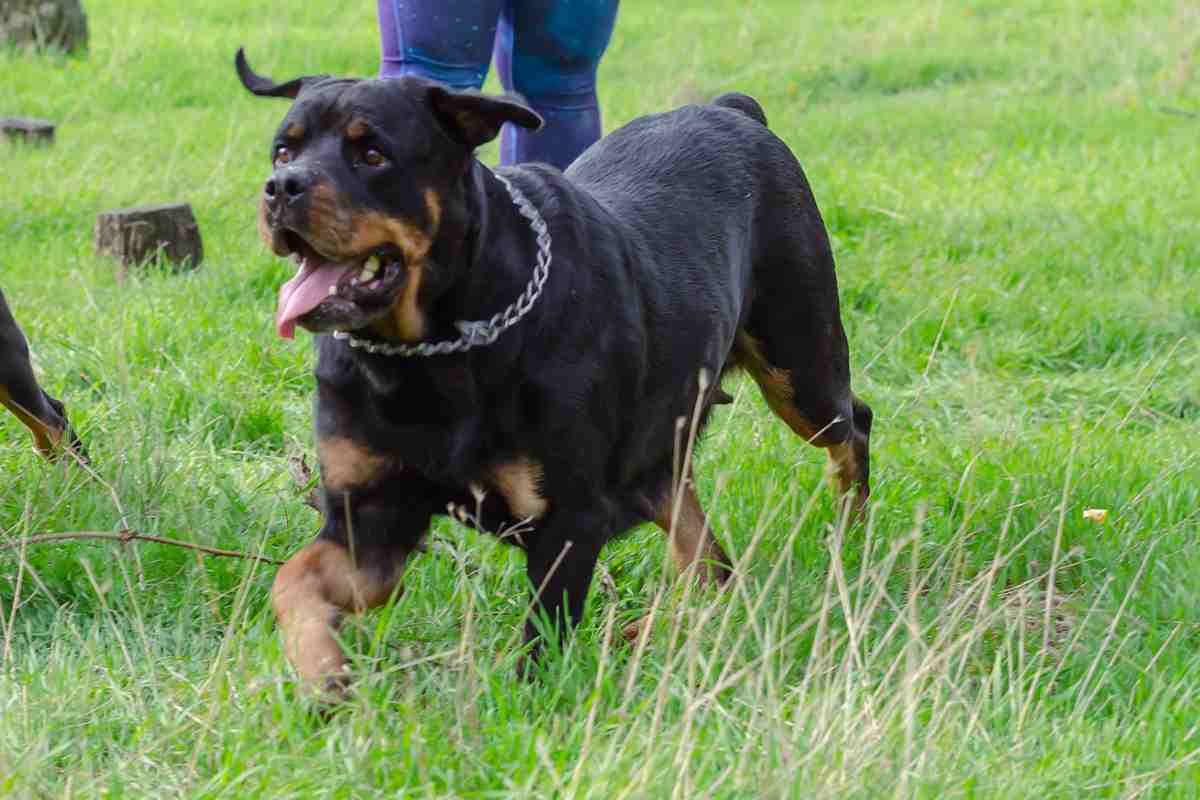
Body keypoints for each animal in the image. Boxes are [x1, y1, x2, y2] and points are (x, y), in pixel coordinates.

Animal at [236, 48, 873, 690]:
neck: (436, 352)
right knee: (704, 549)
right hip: (661, 446)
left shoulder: (569, 518)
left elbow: (542, 639)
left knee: (852, 424)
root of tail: (733, 109)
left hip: (799, 370)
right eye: (283, 151)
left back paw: (852, 534)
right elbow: (292, 581)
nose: (281, 187)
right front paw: (323, 672)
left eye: (373, 155)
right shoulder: (370, 517)